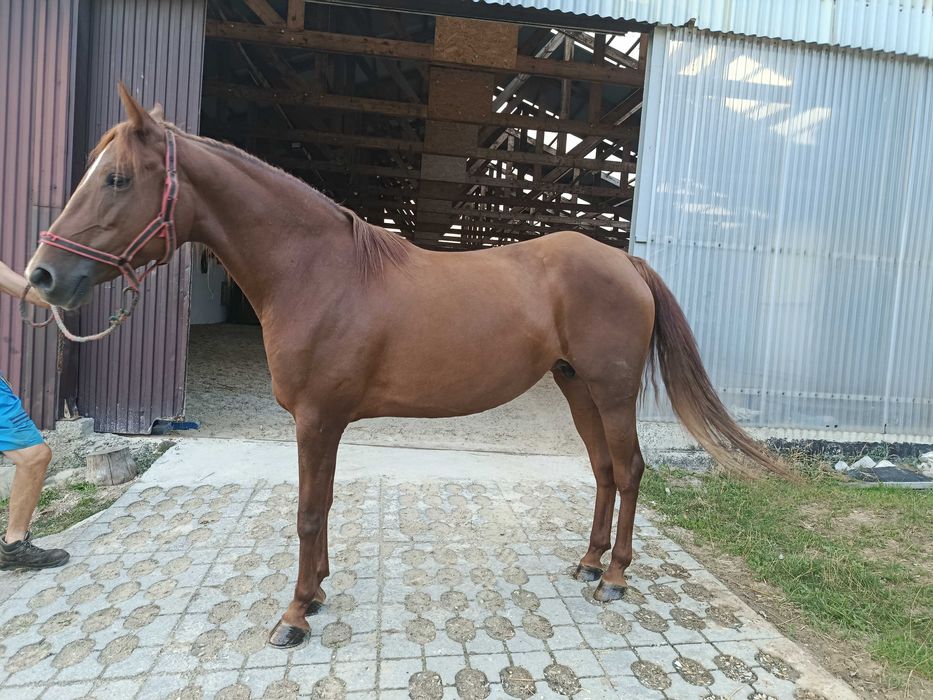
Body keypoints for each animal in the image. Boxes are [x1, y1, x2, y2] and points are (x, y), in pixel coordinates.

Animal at [26, 84, 789, 648]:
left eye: (118, 178)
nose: (42, 276)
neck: (318, 270)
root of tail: (624, 262)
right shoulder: (325, 423)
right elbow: (324, 504)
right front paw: (317, 592)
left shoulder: (316, 418)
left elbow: (307, 511)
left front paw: (293, 616)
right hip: (577, 388)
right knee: (604, 471)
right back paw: (588, 562)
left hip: (610, 389)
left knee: (628, 471)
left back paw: (616, 578)